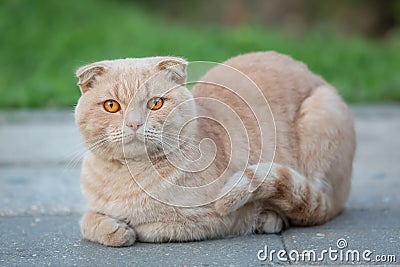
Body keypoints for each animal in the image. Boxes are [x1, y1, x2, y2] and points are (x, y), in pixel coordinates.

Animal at [75, 51, 356, 247]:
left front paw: (131, 227)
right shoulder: (93, 209)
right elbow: (86, 222)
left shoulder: (214, 219)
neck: (125, 177)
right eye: (112, 106)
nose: (134, 123)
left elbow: (156, 227)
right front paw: (113, 229)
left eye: (155, 103)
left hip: (321, 115)